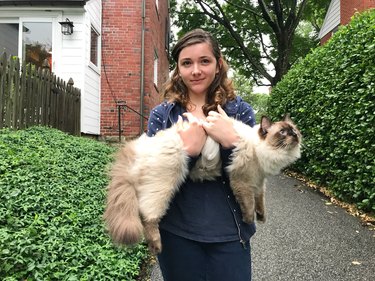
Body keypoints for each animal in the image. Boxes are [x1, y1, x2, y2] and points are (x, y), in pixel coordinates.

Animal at [103, 113, 302, 252]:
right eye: (282, 132)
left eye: (294, 129)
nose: (295, 135)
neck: (261, 151)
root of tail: (139, 146)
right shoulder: (242, 182)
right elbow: (248, 204)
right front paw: (248, 219)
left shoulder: (259, 181)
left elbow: (260, 201)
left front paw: (261, 217)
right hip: (163, 186)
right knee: (147, 217)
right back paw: (157, 246)